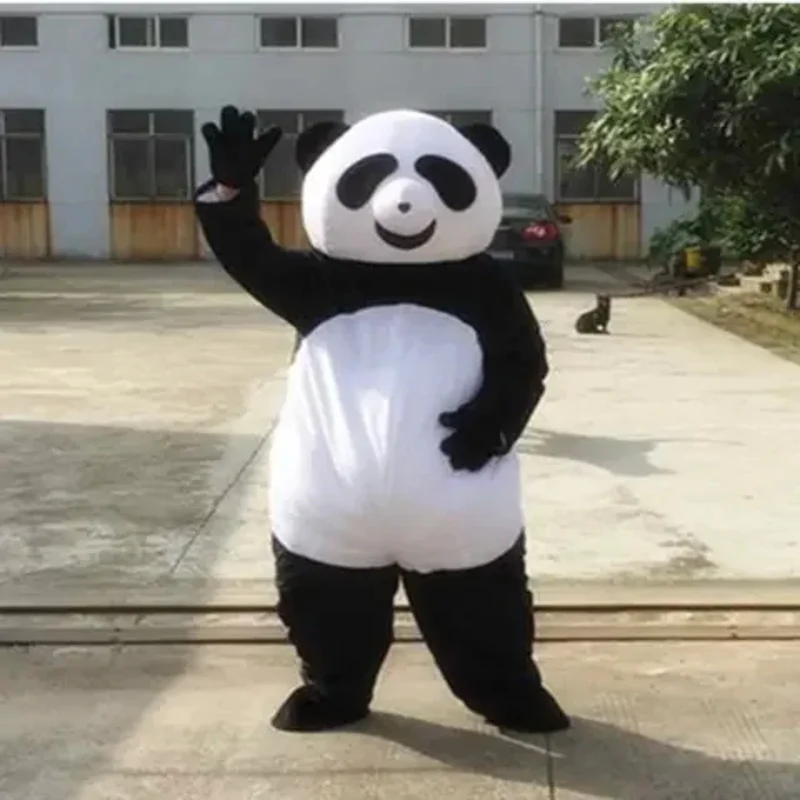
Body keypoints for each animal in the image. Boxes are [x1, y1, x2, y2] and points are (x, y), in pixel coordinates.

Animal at [195, 105, 569, 735]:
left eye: (441, 173)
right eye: (368, 175)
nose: (405, 206)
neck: (403, 276)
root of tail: (394, 544)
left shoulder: (491, 293)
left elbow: (523, 361)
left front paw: (470, 437)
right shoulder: (318, 283)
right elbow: (255, 260)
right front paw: (232, 165)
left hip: (472, 527)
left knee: (483, 606)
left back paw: (525, 706)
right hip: (314, 517)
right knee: (328, 601)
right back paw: (320, 703)